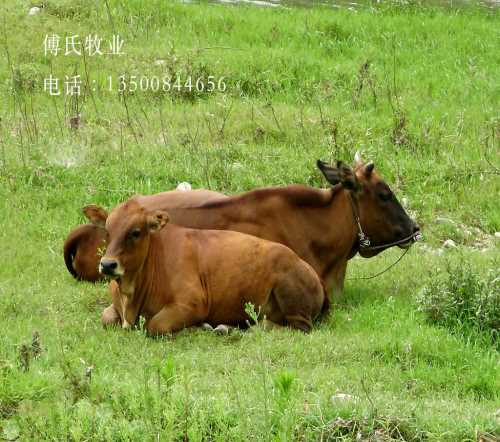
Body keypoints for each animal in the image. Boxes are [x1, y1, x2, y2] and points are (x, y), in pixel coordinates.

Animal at [96, 199, 328, 334]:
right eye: (107, 231)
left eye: (135, 232)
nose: (107, 265)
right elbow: (106, 317)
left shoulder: (192, 303)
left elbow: (154, 325)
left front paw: (195, 328)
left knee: (297, 328)